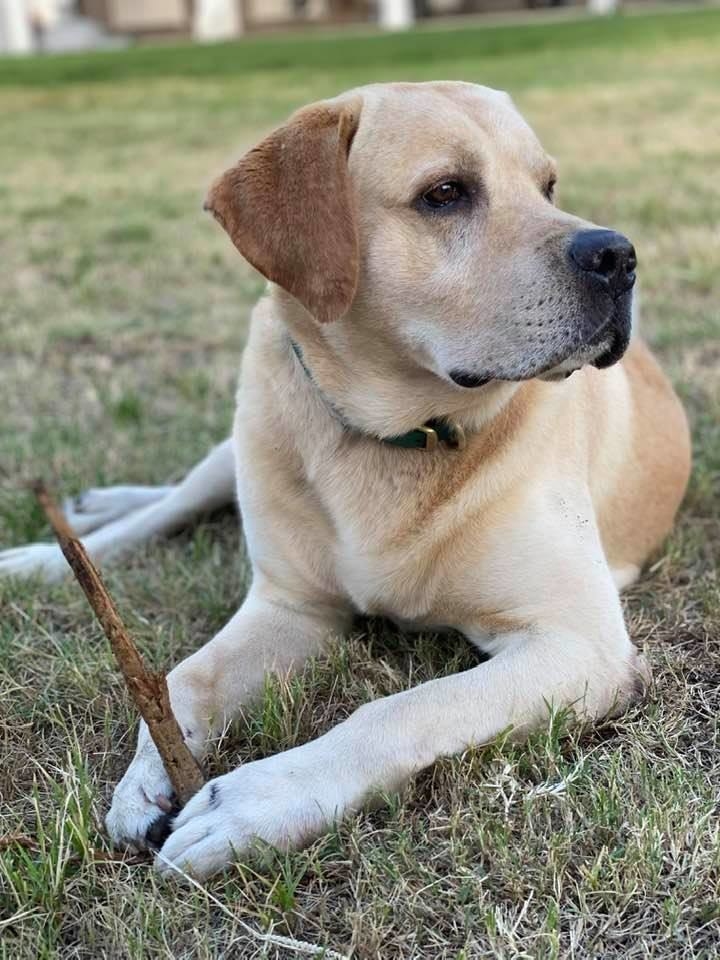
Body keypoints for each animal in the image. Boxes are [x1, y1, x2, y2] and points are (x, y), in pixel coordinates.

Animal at [1, 82, 692, 876]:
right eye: (445, 193)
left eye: (548, 186)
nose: (617, 254)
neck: (398, 436)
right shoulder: (291, 606)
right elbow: (187, 678)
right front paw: (147, 778)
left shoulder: (579, 644)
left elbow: (400, 709)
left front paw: (258, 803)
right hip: (245, 433)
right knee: (171, 505)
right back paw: (56, 545)